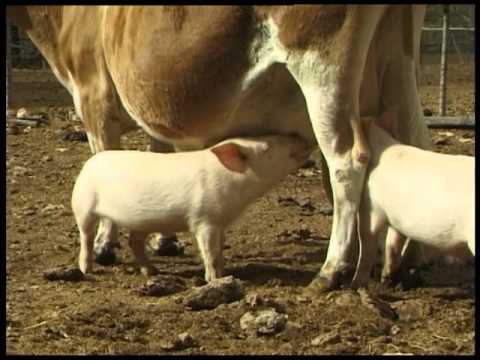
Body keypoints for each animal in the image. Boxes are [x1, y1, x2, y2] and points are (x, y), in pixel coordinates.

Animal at [5, 5, 434, 292]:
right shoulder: (152, 114)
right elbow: (156, 160)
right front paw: (164, 239)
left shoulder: (94, 99)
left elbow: (105, 161)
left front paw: (105, 246)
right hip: (398, 65)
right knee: (415, 142)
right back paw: (405, 262)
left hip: (323, 67)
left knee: (346, 160)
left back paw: (331, 270)